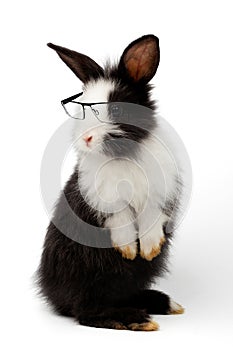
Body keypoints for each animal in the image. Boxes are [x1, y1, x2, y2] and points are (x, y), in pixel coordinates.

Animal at [37, 33, 184, 330]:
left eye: (116, 108)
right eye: (83, 108)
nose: (86, 139)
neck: (122, 155)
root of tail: (54, 296)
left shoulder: (161, 193)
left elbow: (152, 218)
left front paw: (148, 248)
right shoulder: (102, 198)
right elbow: (120, 218)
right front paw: (127, 249)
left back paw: (162, 303)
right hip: (88, 274)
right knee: (87, 311)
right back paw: (135, 319)